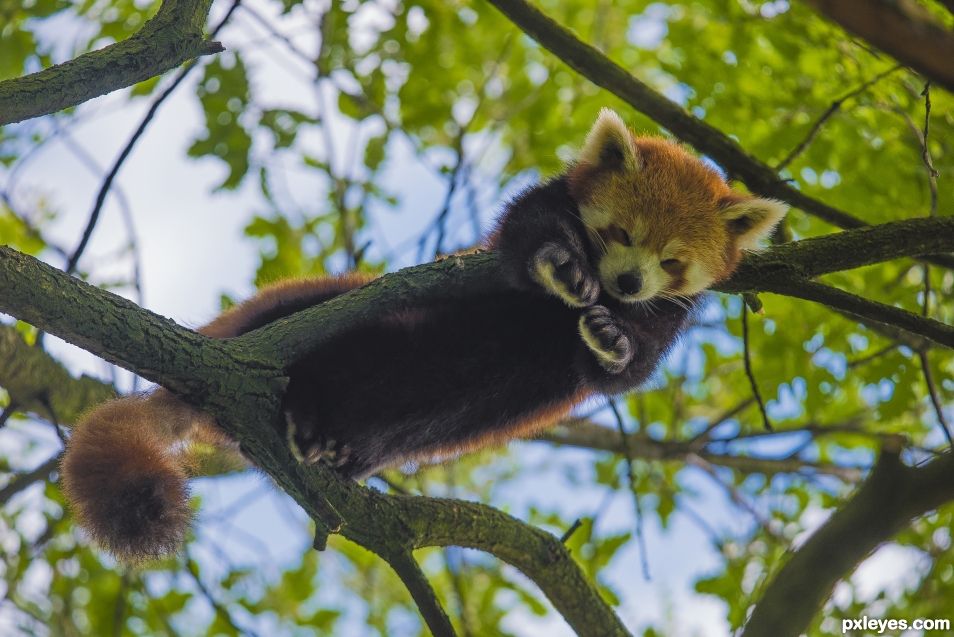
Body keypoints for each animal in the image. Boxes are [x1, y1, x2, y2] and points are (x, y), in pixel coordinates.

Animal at [63, 110, 784, 560]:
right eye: (621, 234)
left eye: (671, 261)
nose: (629, 282)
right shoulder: (519, 231)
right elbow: (527, 238)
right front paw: (560, 262)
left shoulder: (666, 318)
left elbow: (621, 370)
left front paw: (612, 335)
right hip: (316, 312)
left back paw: (330, 440)